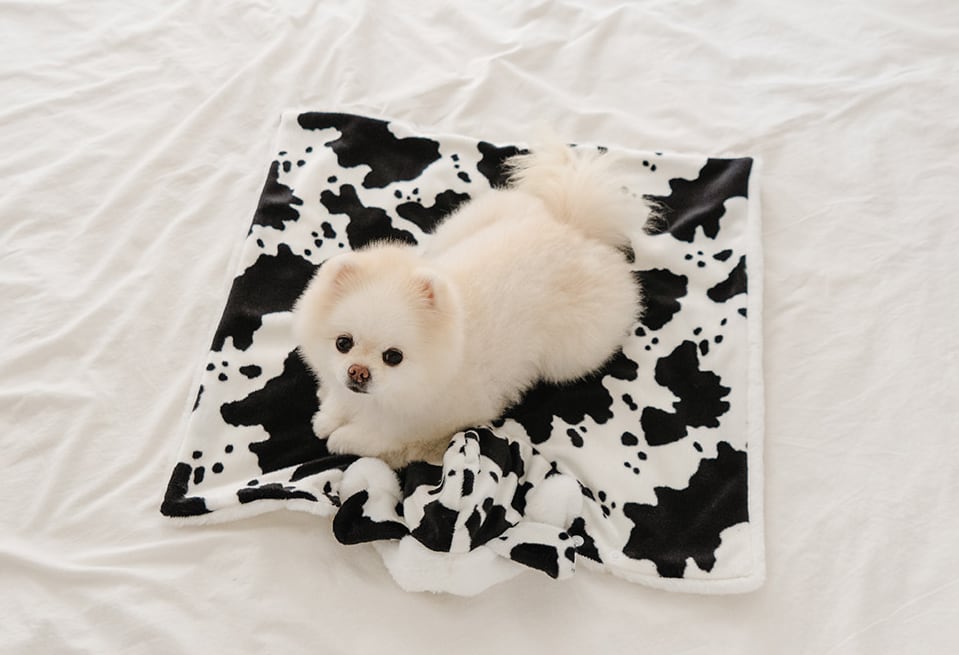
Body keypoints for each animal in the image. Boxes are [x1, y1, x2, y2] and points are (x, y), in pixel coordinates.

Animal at [292, 143, 641, 468]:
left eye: (393, 357)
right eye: (343, 343)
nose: (358, 372)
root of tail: (572, 228)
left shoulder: (435, 420)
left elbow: (379, 437)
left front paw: (343, 436)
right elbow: (338, 399)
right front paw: (328, 415)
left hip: (573, 352)